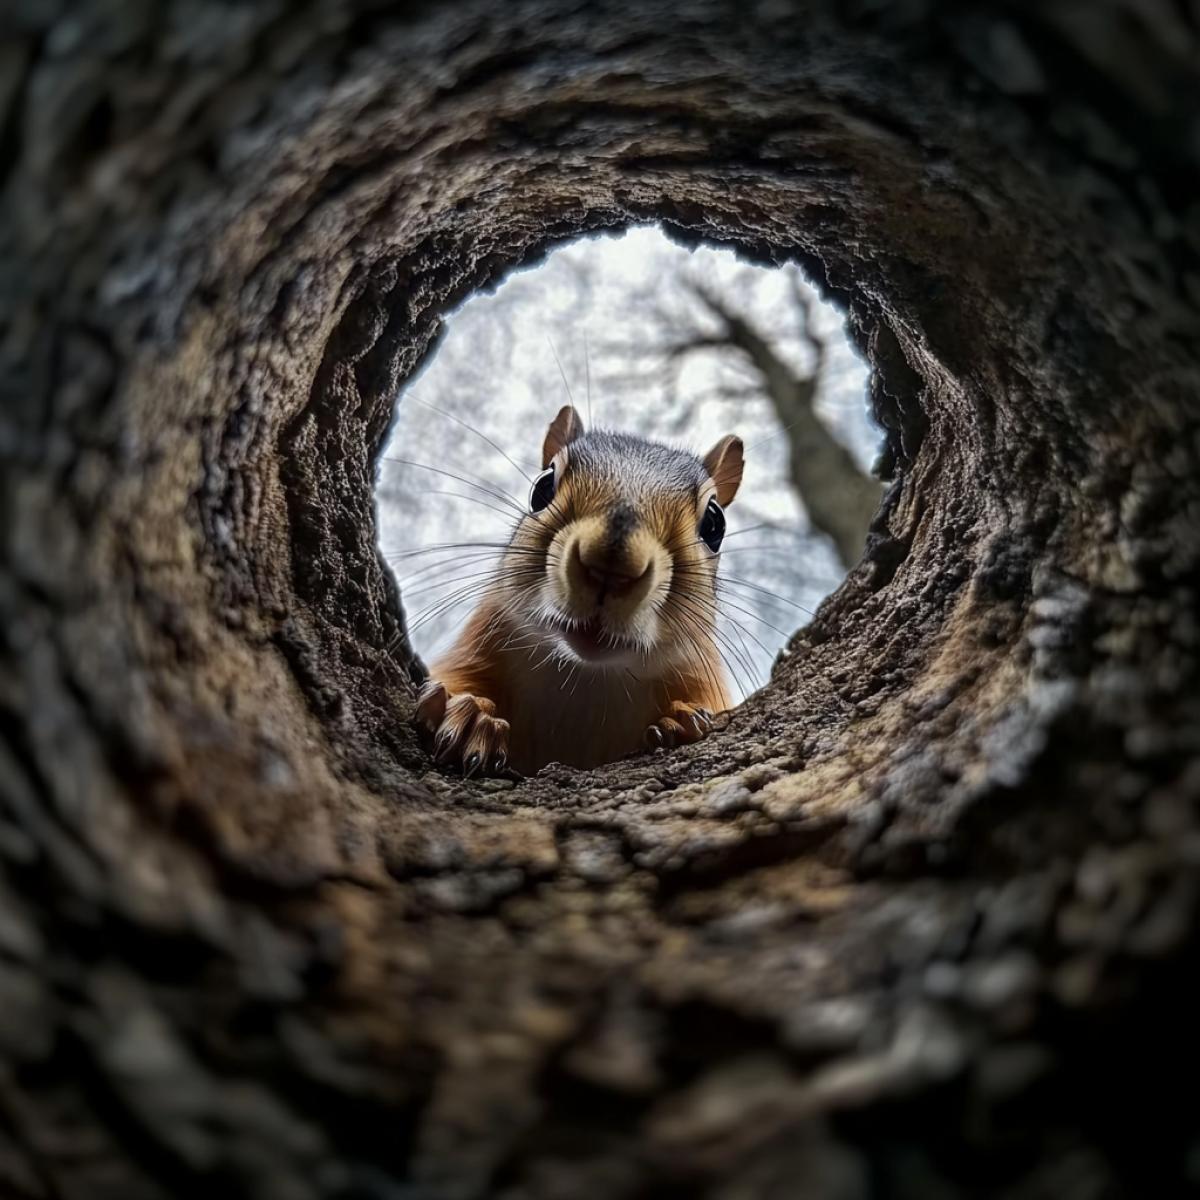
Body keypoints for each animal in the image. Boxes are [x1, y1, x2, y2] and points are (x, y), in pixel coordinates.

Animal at [414, 404, 744, 776]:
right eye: (542, 488)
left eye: (715, 524)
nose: (611, 567)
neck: (587, 678)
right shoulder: (475, 649)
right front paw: (474, 717)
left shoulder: (701, 678)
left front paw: (681, 721)